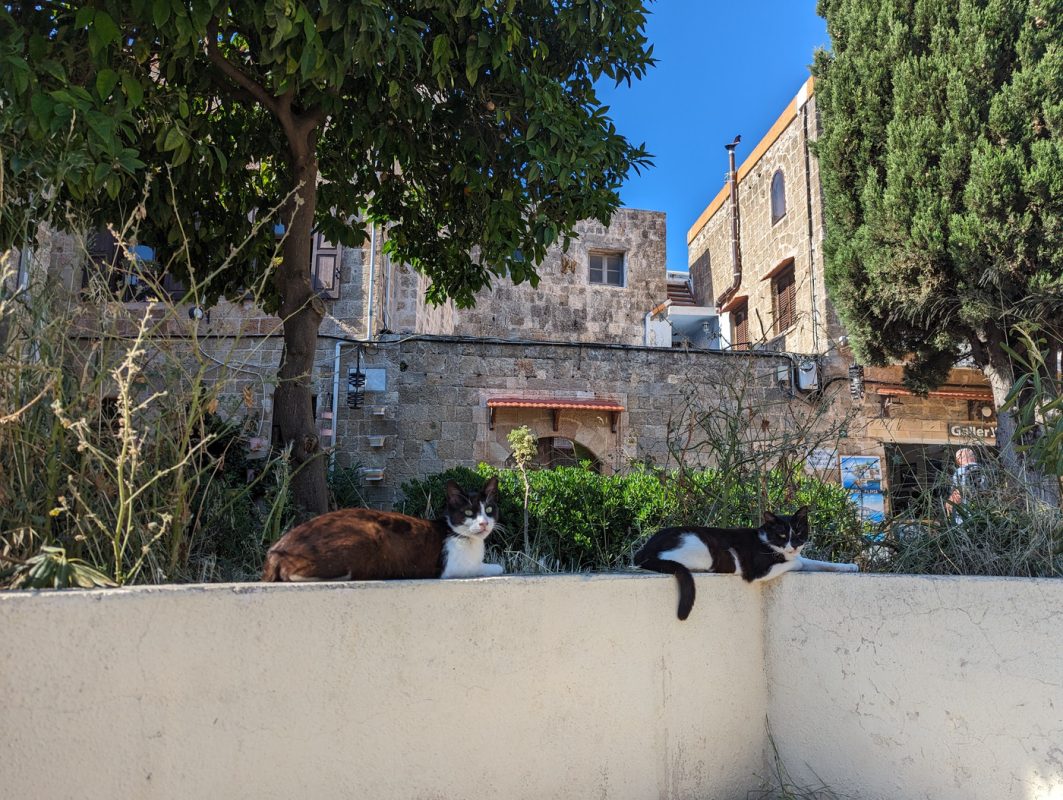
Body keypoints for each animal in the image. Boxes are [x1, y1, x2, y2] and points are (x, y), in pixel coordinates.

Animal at [260, 473, 501, 582]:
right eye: (468, 513)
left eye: (489, 509)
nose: (484, 523)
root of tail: (276, 551)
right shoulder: (453, 567)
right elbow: (491, 566)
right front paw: (496, 566)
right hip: (367, 535)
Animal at [633, 507, 858, 620]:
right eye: (782, 535)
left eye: (799, 532)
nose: (793, 546)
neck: (769, 543)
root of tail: (645, 549)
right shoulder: (758, 570)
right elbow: (800, 564)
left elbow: (816, 562)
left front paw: (849, 566)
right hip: (703, 548)